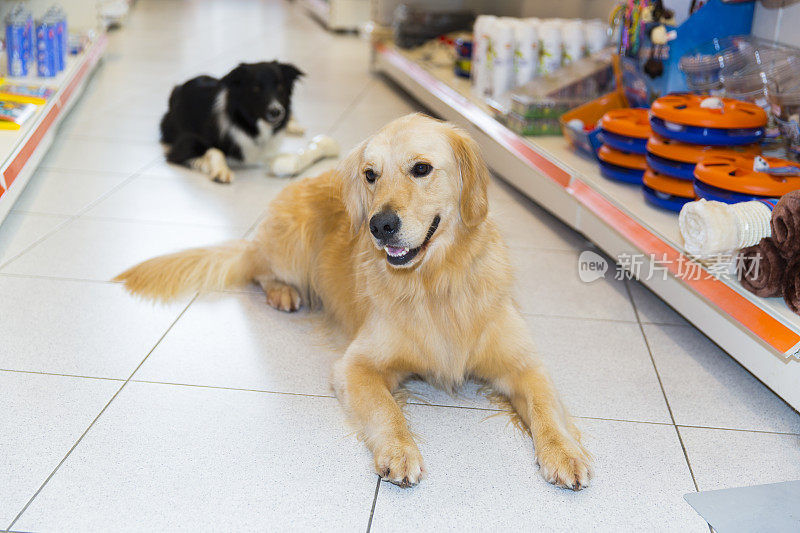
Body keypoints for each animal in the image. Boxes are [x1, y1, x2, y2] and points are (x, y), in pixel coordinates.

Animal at [161, 61, 304, 183]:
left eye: (280, 87)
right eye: (256, 88)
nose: (276, 111)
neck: (248, 126)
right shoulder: (185, 143)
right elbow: (215, 151)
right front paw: (219, 170)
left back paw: (296, 126)